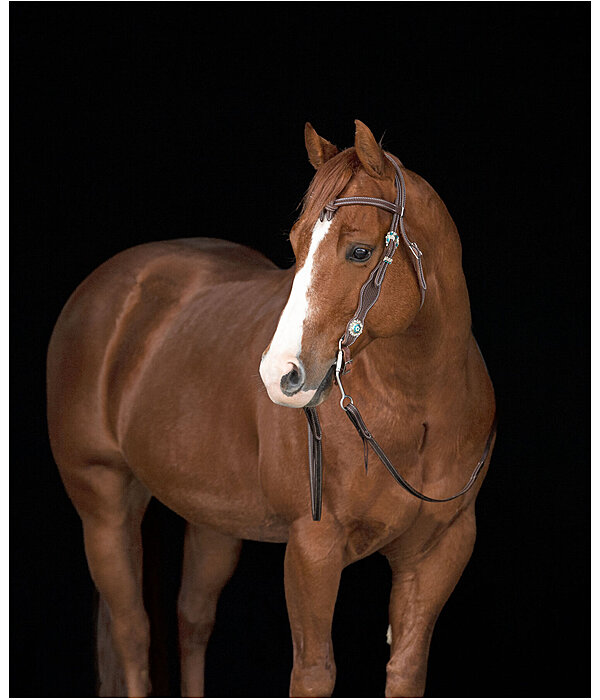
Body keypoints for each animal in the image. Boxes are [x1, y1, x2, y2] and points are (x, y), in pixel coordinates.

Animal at [47, 120, 496, 696]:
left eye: (360, 251)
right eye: (296, 244)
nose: (280, 374)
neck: (418, 413)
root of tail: (108, 287)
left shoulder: (440, 550)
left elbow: (406, 669)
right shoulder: (313, 547)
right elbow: (313, 673)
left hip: (212, 518)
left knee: (193, 620)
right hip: (103, 503)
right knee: (133, 633)